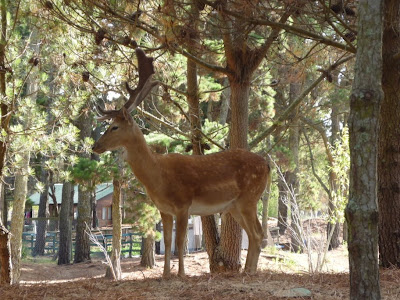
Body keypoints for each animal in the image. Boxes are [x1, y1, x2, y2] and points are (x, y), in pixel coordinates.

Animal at [92, 48, 270, 278]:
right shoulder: (164, 209)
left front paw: (181, 274)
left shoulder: (183, 204)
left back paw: (250, 272)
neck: (158, 177)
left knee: (257, 234)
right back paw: (247, 270)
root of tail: (267, 165)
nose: (95, 146)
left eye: (114, 127)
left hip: (249, 197)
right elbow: (167, 241)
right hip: (235, 206)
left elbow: (180, 241)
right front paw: (166, 274)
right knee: (256, 234)